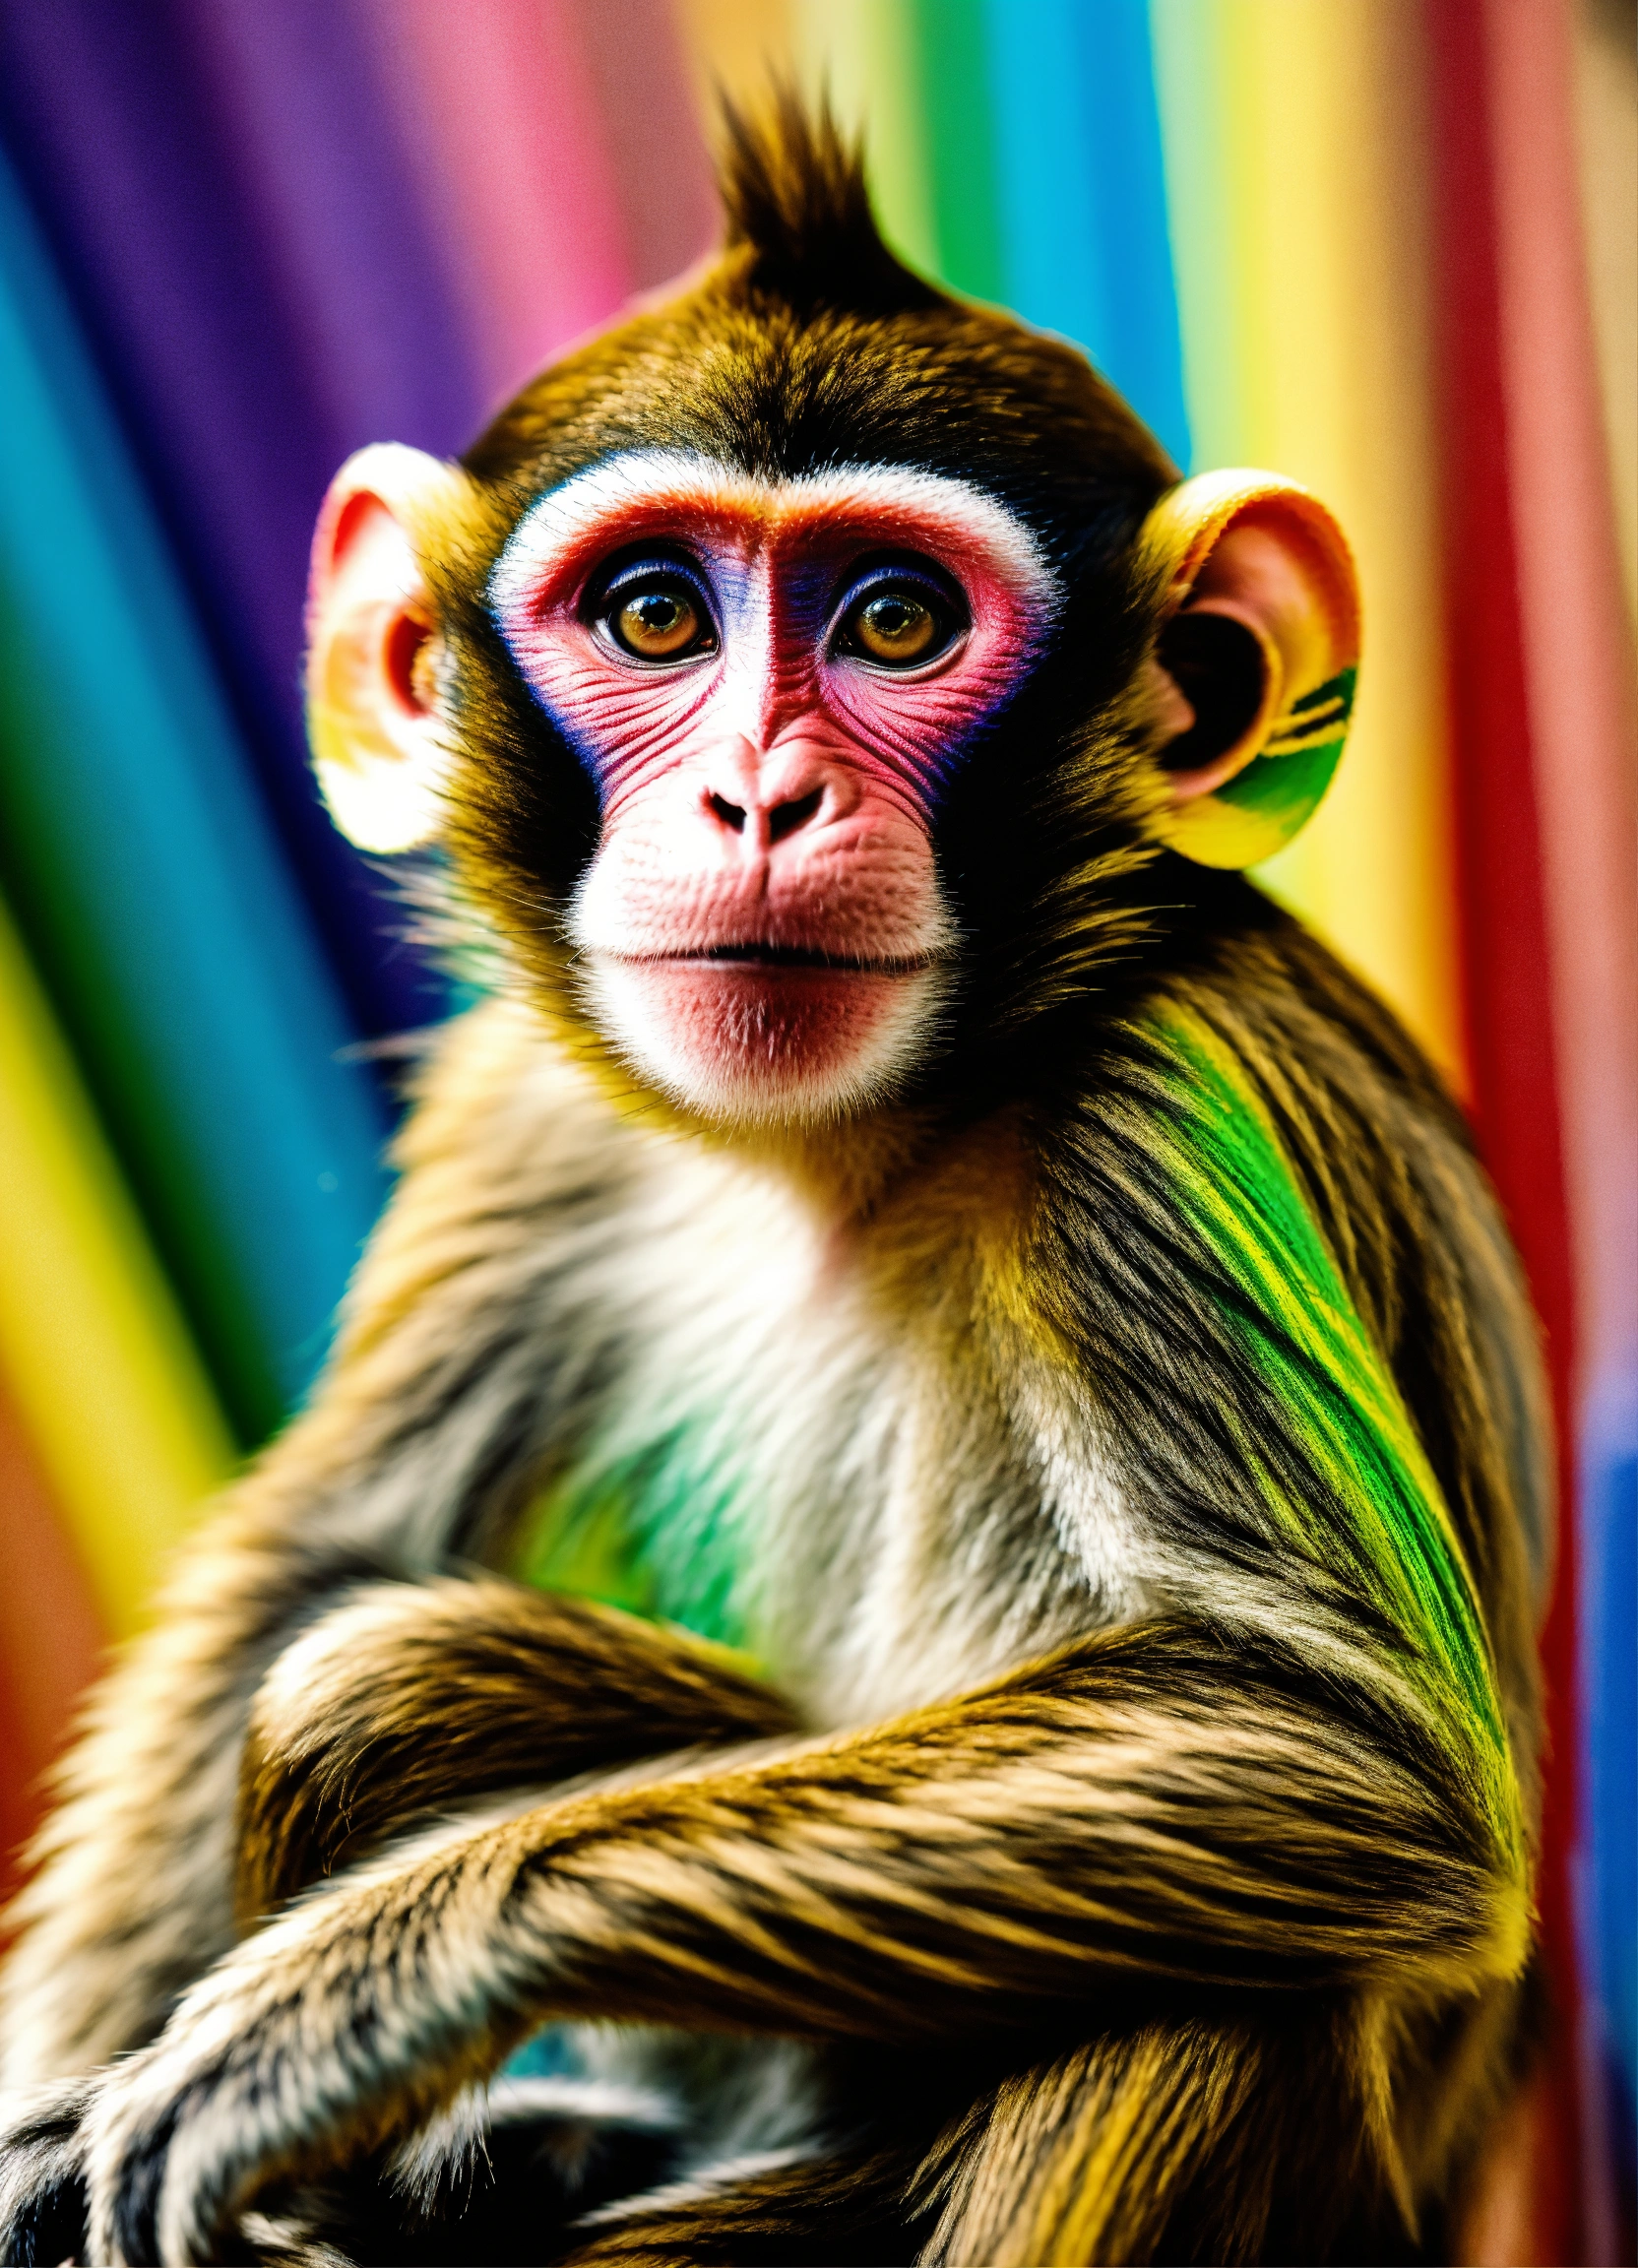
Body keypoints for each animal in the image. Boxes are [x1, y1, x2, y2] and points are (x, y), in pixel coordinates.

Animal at [0, 99, 1550, 2267]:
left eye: (895, 620)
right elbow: (314, 1557)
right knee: (368, 1670)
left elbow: (1335, 1748)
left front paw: (358, 1985)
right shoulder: (526, 1107)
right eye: (654, 614)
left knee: (1215, 1990)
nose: (756, 796)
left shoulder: (1162, 1114)